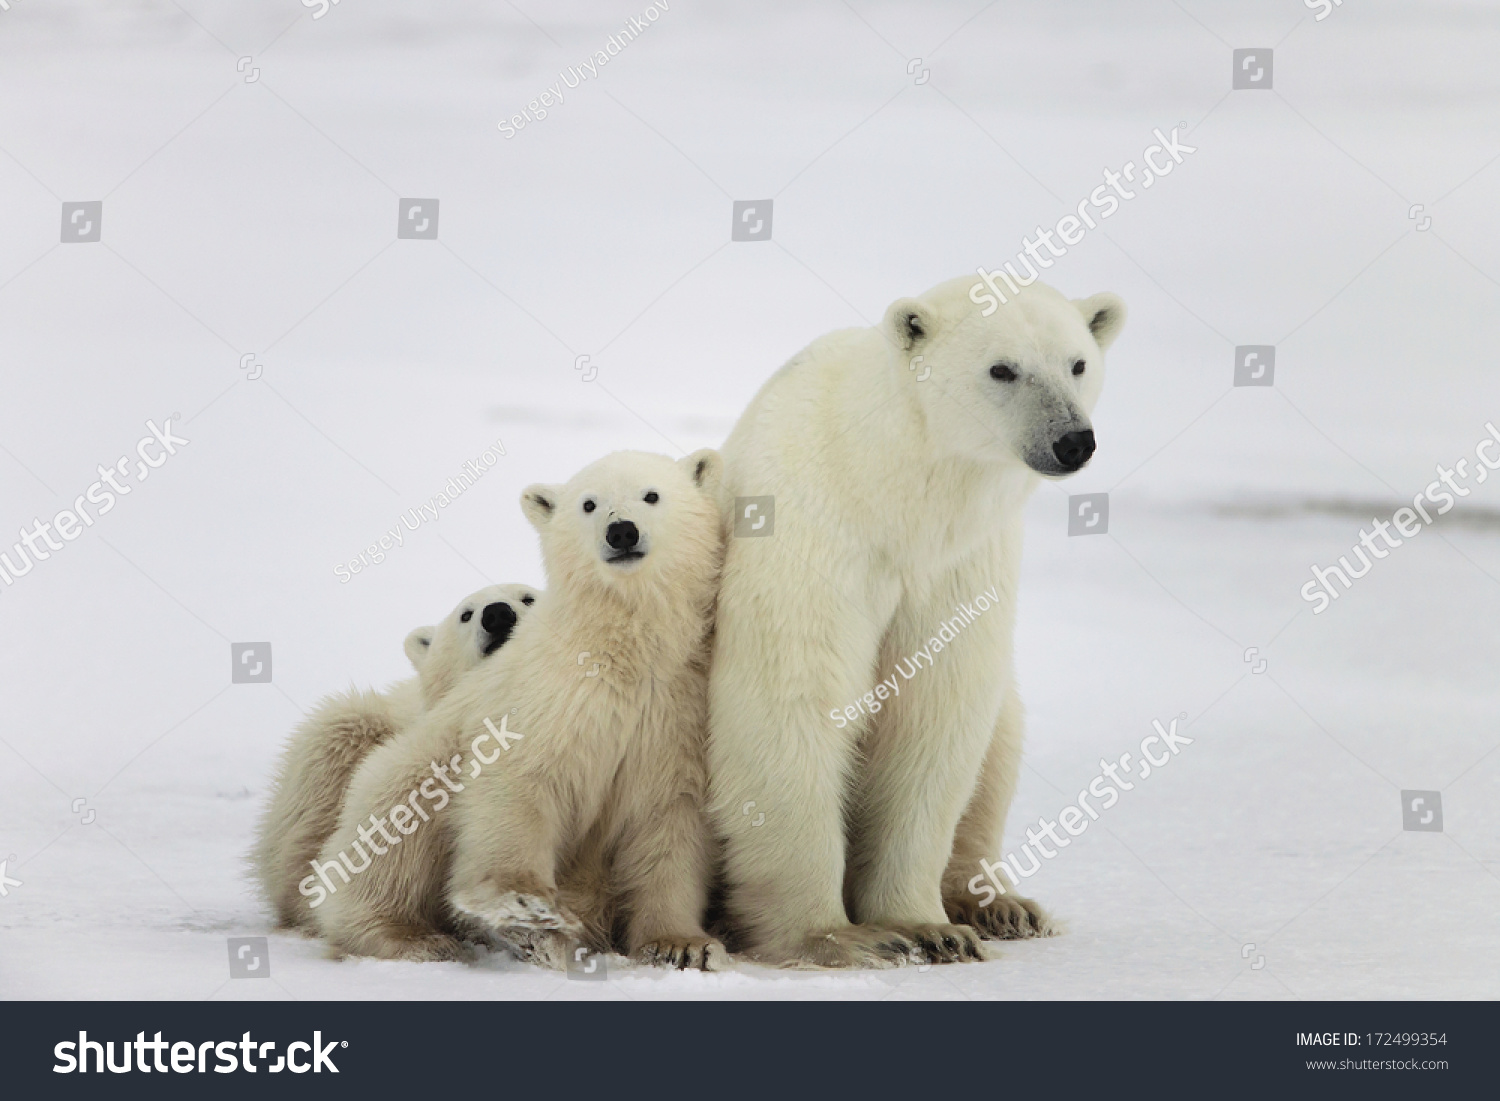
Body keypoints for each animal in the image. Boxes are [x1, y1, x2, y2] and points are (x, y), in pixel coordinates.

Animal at [708, 274, 1122, 966]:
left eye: (1078, 363)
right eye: (1002, 368)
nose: (1072, 441)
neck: (893, 491)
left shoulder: (959, 565)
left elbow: (936, 709)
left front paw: (928, 928)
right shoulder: (813, 534)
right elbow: (792, 700)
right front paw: (838, 937)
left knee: (1000, 741)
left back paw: (1001, 906)